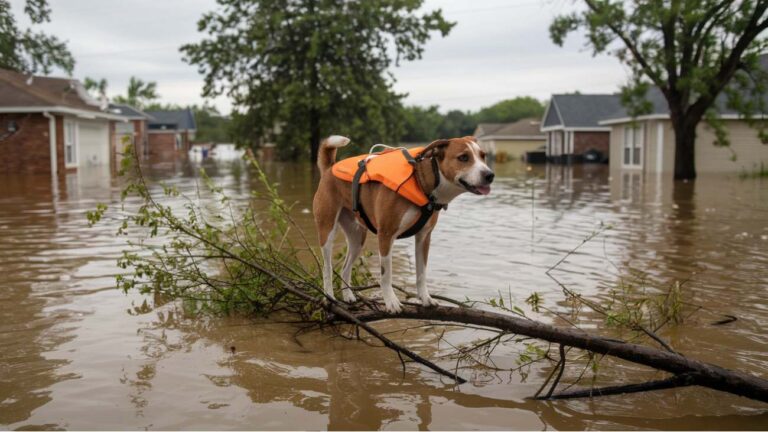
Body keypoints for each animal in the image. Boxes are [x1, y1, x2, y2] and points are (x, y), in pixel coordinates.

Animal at [310, 134, 496, 310]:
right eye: (463, 157)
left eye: (483, 156)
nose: (489, 175)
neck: (420, 182)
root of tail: (330, 168)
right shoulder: (386, 235)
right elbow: (386, 274)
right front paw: (391, 302)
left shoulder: (424, 237)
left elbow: (421, 273)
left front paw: (425, 298)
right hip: (327, 229)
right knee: (327, 268)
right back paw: (330, 298)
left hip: (357, 238)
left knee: (345, 268)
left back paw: (348, 295)